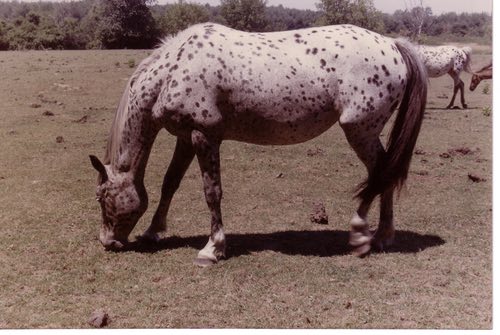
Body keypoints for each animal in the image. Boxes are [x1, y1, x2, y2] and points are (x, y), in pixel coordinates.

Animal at [89, 22, 426, 266]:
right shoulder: (185, 137)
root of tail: (393, 45)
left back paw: (360, 234)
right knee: (384, 174)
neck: (173, 69)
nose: (108, 242)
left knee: (382, 174)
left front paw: (213, 248)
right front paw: (153, 232)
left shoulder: (204, 136)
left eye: (101, 197)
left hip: (359, 132)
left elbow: (212, 192)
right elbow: (169, 183)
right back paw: (381, 236)